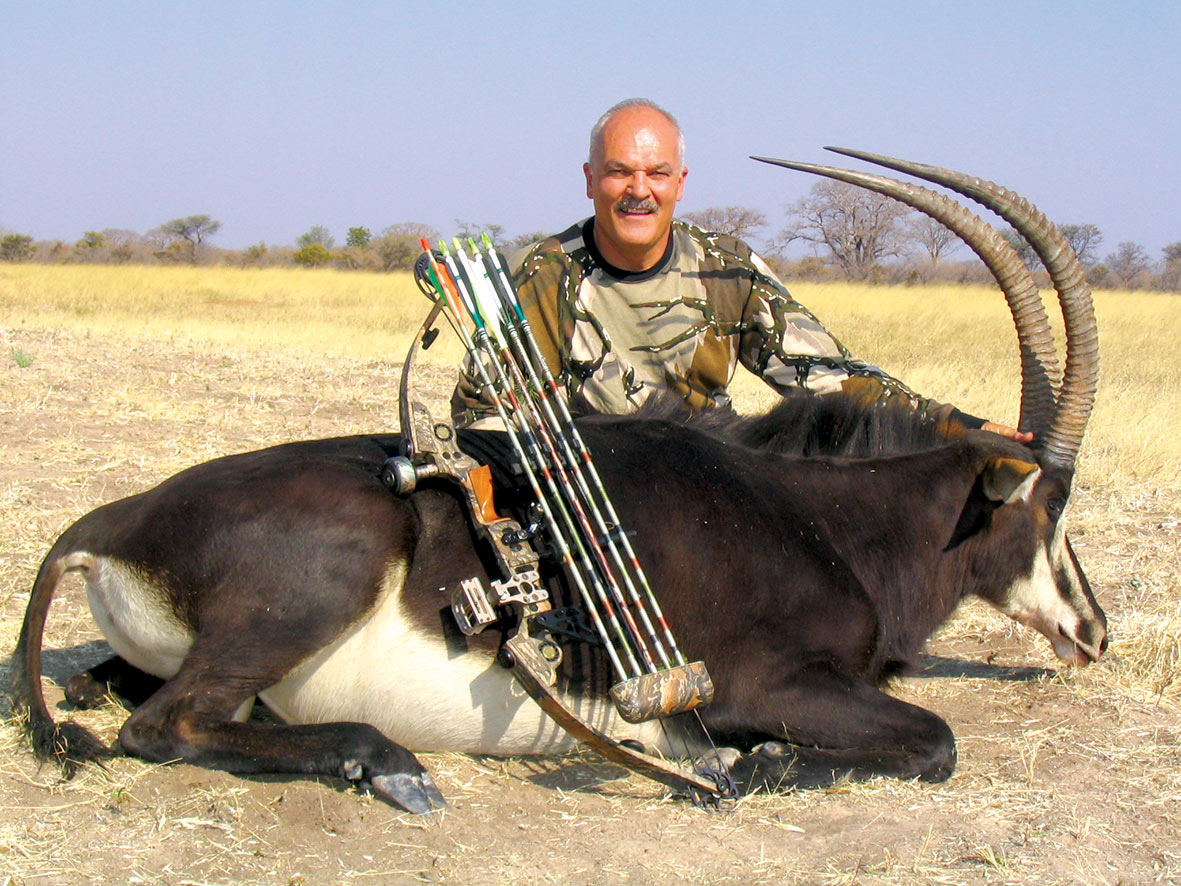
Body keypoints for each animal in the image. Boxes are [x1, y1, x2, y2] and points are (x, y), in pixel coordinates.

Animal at [9, 151, 1105, 812]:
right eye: (1050, 508)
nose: (1093, 631)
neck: (819, 521)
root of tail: (105, 523)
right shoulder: (765, 684)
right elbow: (933, 738)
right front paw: (756, 764)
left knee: (130, 694)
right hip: (328, 571)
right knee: (164, 725)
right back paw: (387, 762)